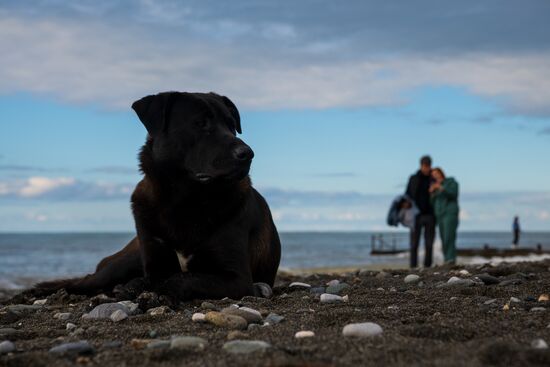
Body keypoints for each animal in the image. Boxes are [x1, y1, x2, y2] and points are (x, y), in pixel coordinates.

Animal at [34, 91, 282, 302]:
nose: (247, 154)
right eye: (200, 123)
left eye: (232, 126)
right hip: (123, 261)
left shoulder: (237, 278)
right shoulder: (155, 259)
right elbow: (160, 277)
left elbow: (179, 278)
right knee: (84, 281)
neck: (186, 199)